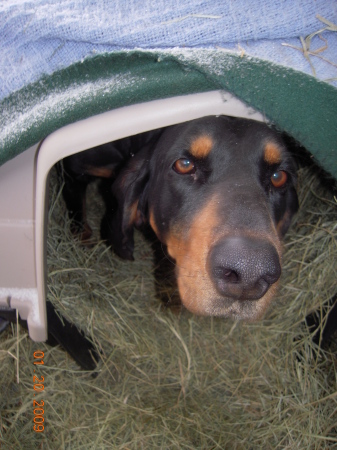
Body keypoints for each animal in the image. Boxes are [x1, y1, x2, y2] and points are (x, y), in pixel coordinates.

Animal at [60, 116, 296, 320]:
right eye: (184, 165)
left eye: (279, 177)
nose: (250, 273)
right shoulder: (75, 171)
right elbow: (76, 204)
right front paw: (82, 238)